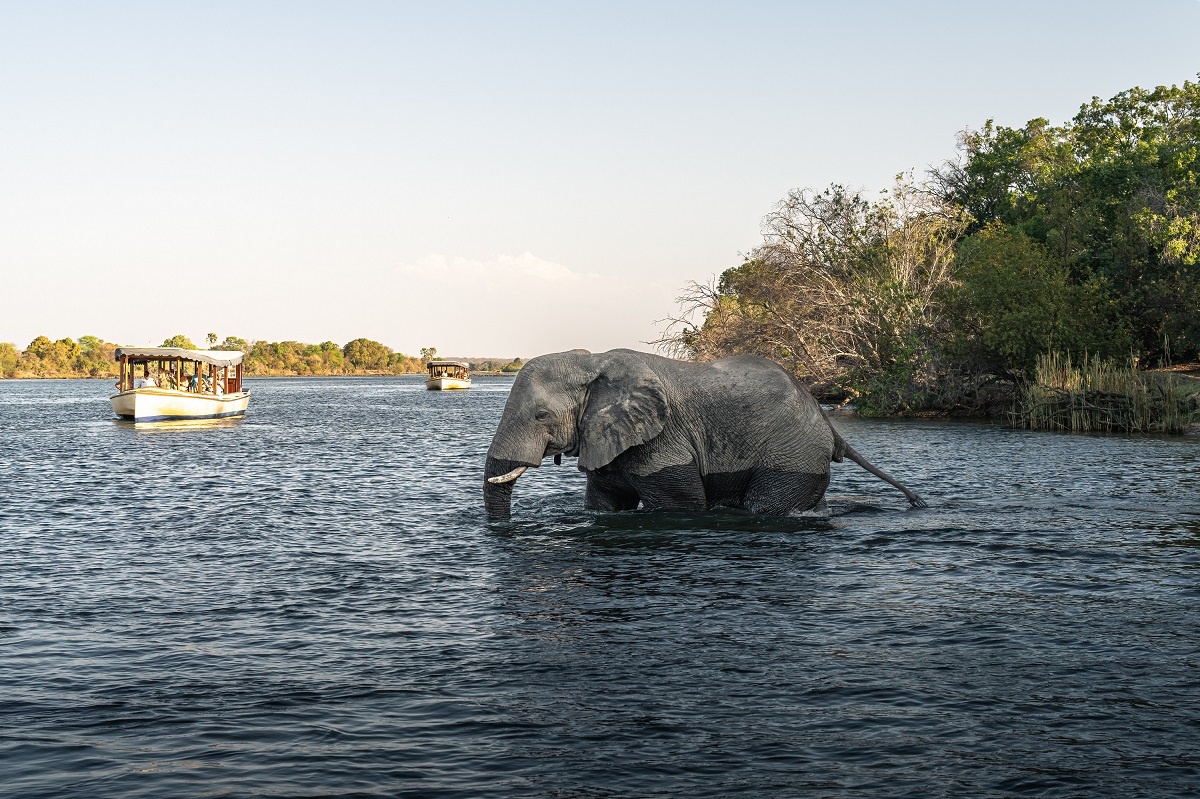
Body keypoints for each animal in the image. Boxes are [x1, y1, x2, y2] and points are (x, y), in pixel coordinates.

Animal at [480, 347, 926, 520]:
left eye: (540, 415)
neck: (594, 361)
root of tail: (827, 422)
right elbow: (605, 504)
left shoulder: (663, 441)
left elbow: (683, 506)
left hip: (793, 452)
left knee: (766, 506)